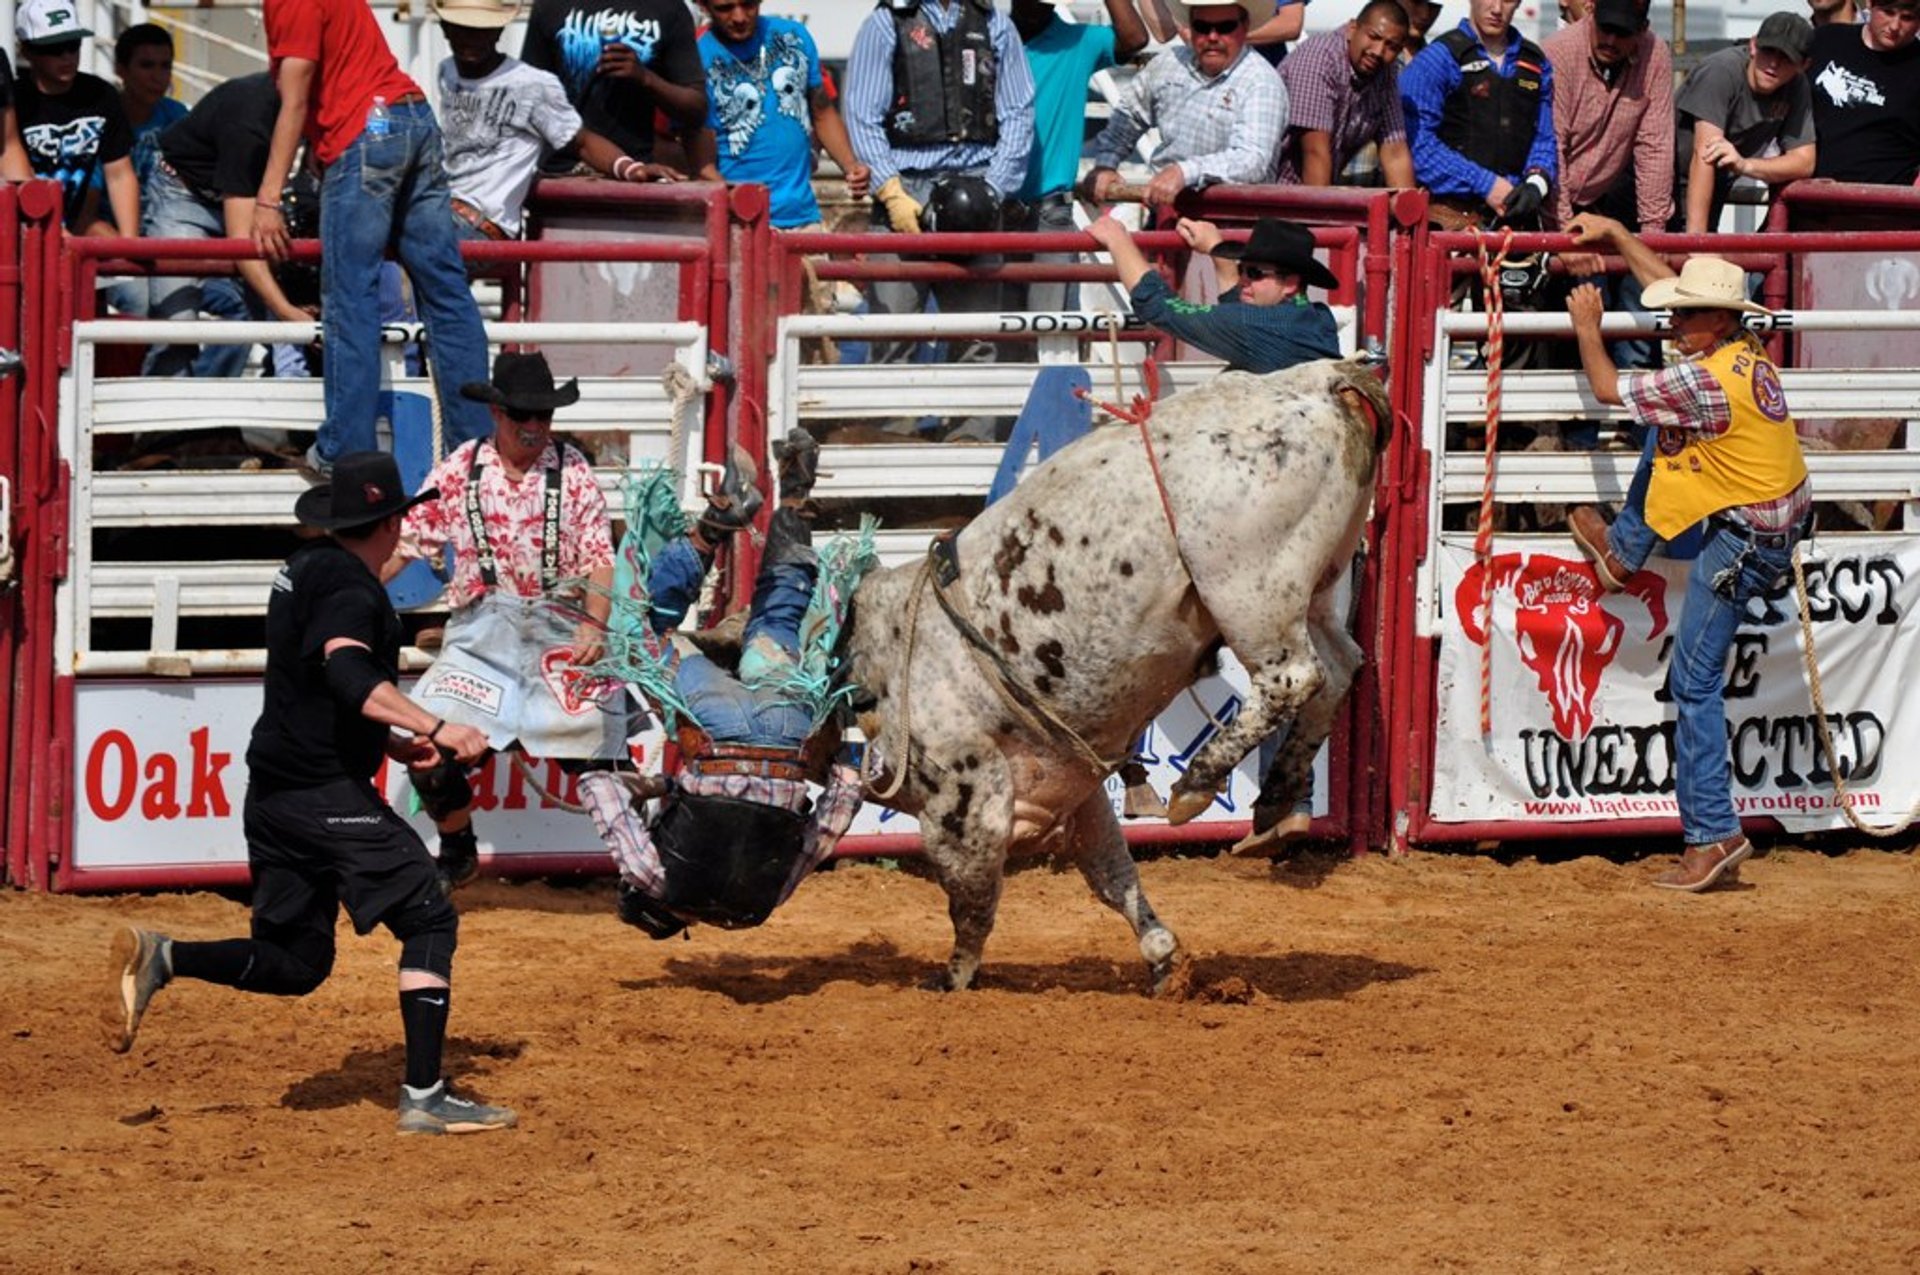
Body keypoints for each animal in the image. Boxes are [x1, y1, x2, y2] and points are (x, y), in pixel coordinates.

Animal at [848, 355, 1390, 998]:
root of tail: (1325, 379)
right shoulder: (1078, 791)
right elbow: (1113, 875)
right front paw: (1162, 960)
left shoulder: (966, 800)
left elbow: (971, 900)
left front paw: (951, 978)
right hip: (1322, 587)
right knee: (1339, 667)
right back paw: (1275, 796)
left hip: (1248, 592)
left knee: (1294, 677)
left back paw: (1198, 783)